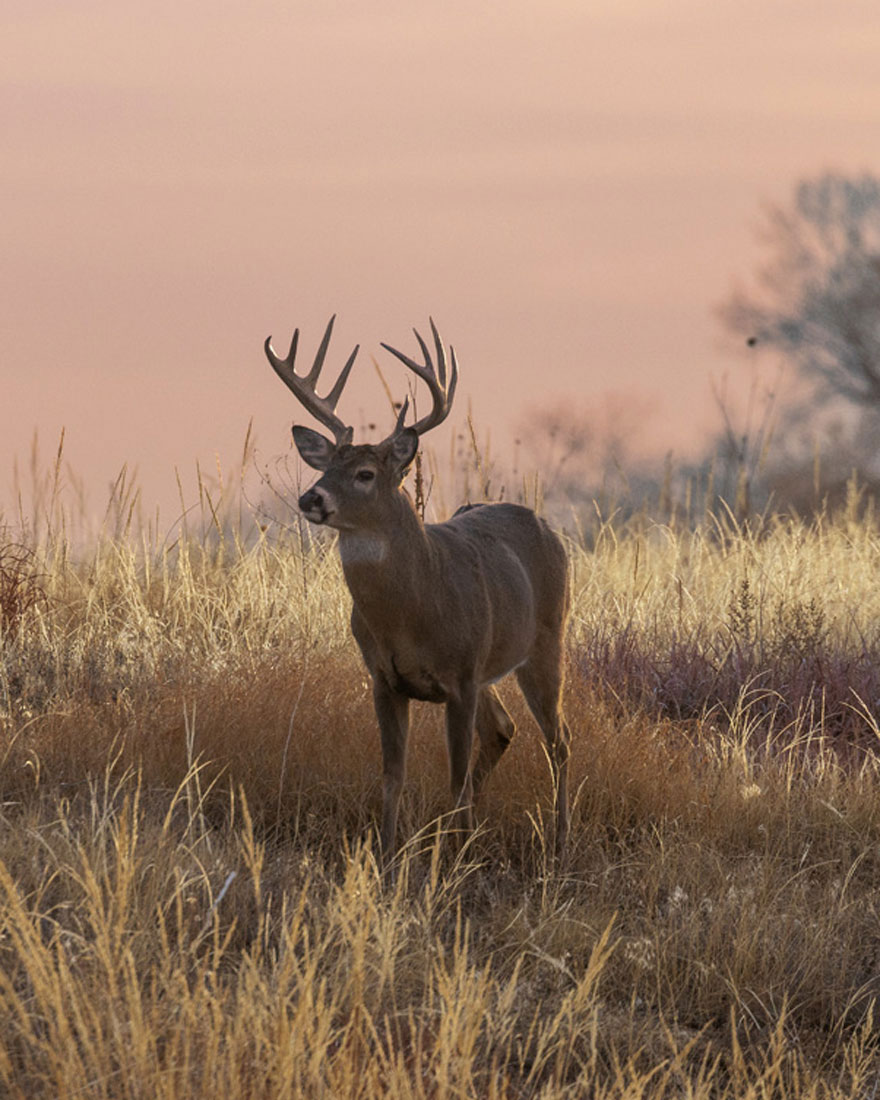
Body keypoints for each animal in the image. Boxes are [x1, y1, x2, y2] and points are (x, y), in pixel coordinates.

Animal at [264, 316, 572, 861]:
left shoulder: (461, 676)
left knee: (558, 740)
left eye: (365, 473)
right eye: (325, 466)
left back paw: (556, 843)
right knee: (503, 730)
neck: (412, 611)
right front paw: (388, 856)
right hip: (491, 670)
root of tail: (543, 524)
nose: (310, 498)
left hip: (546, 641)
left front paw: (455, 861)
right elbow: (393, 775)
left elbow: (453, 777)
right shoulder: (384, 679)